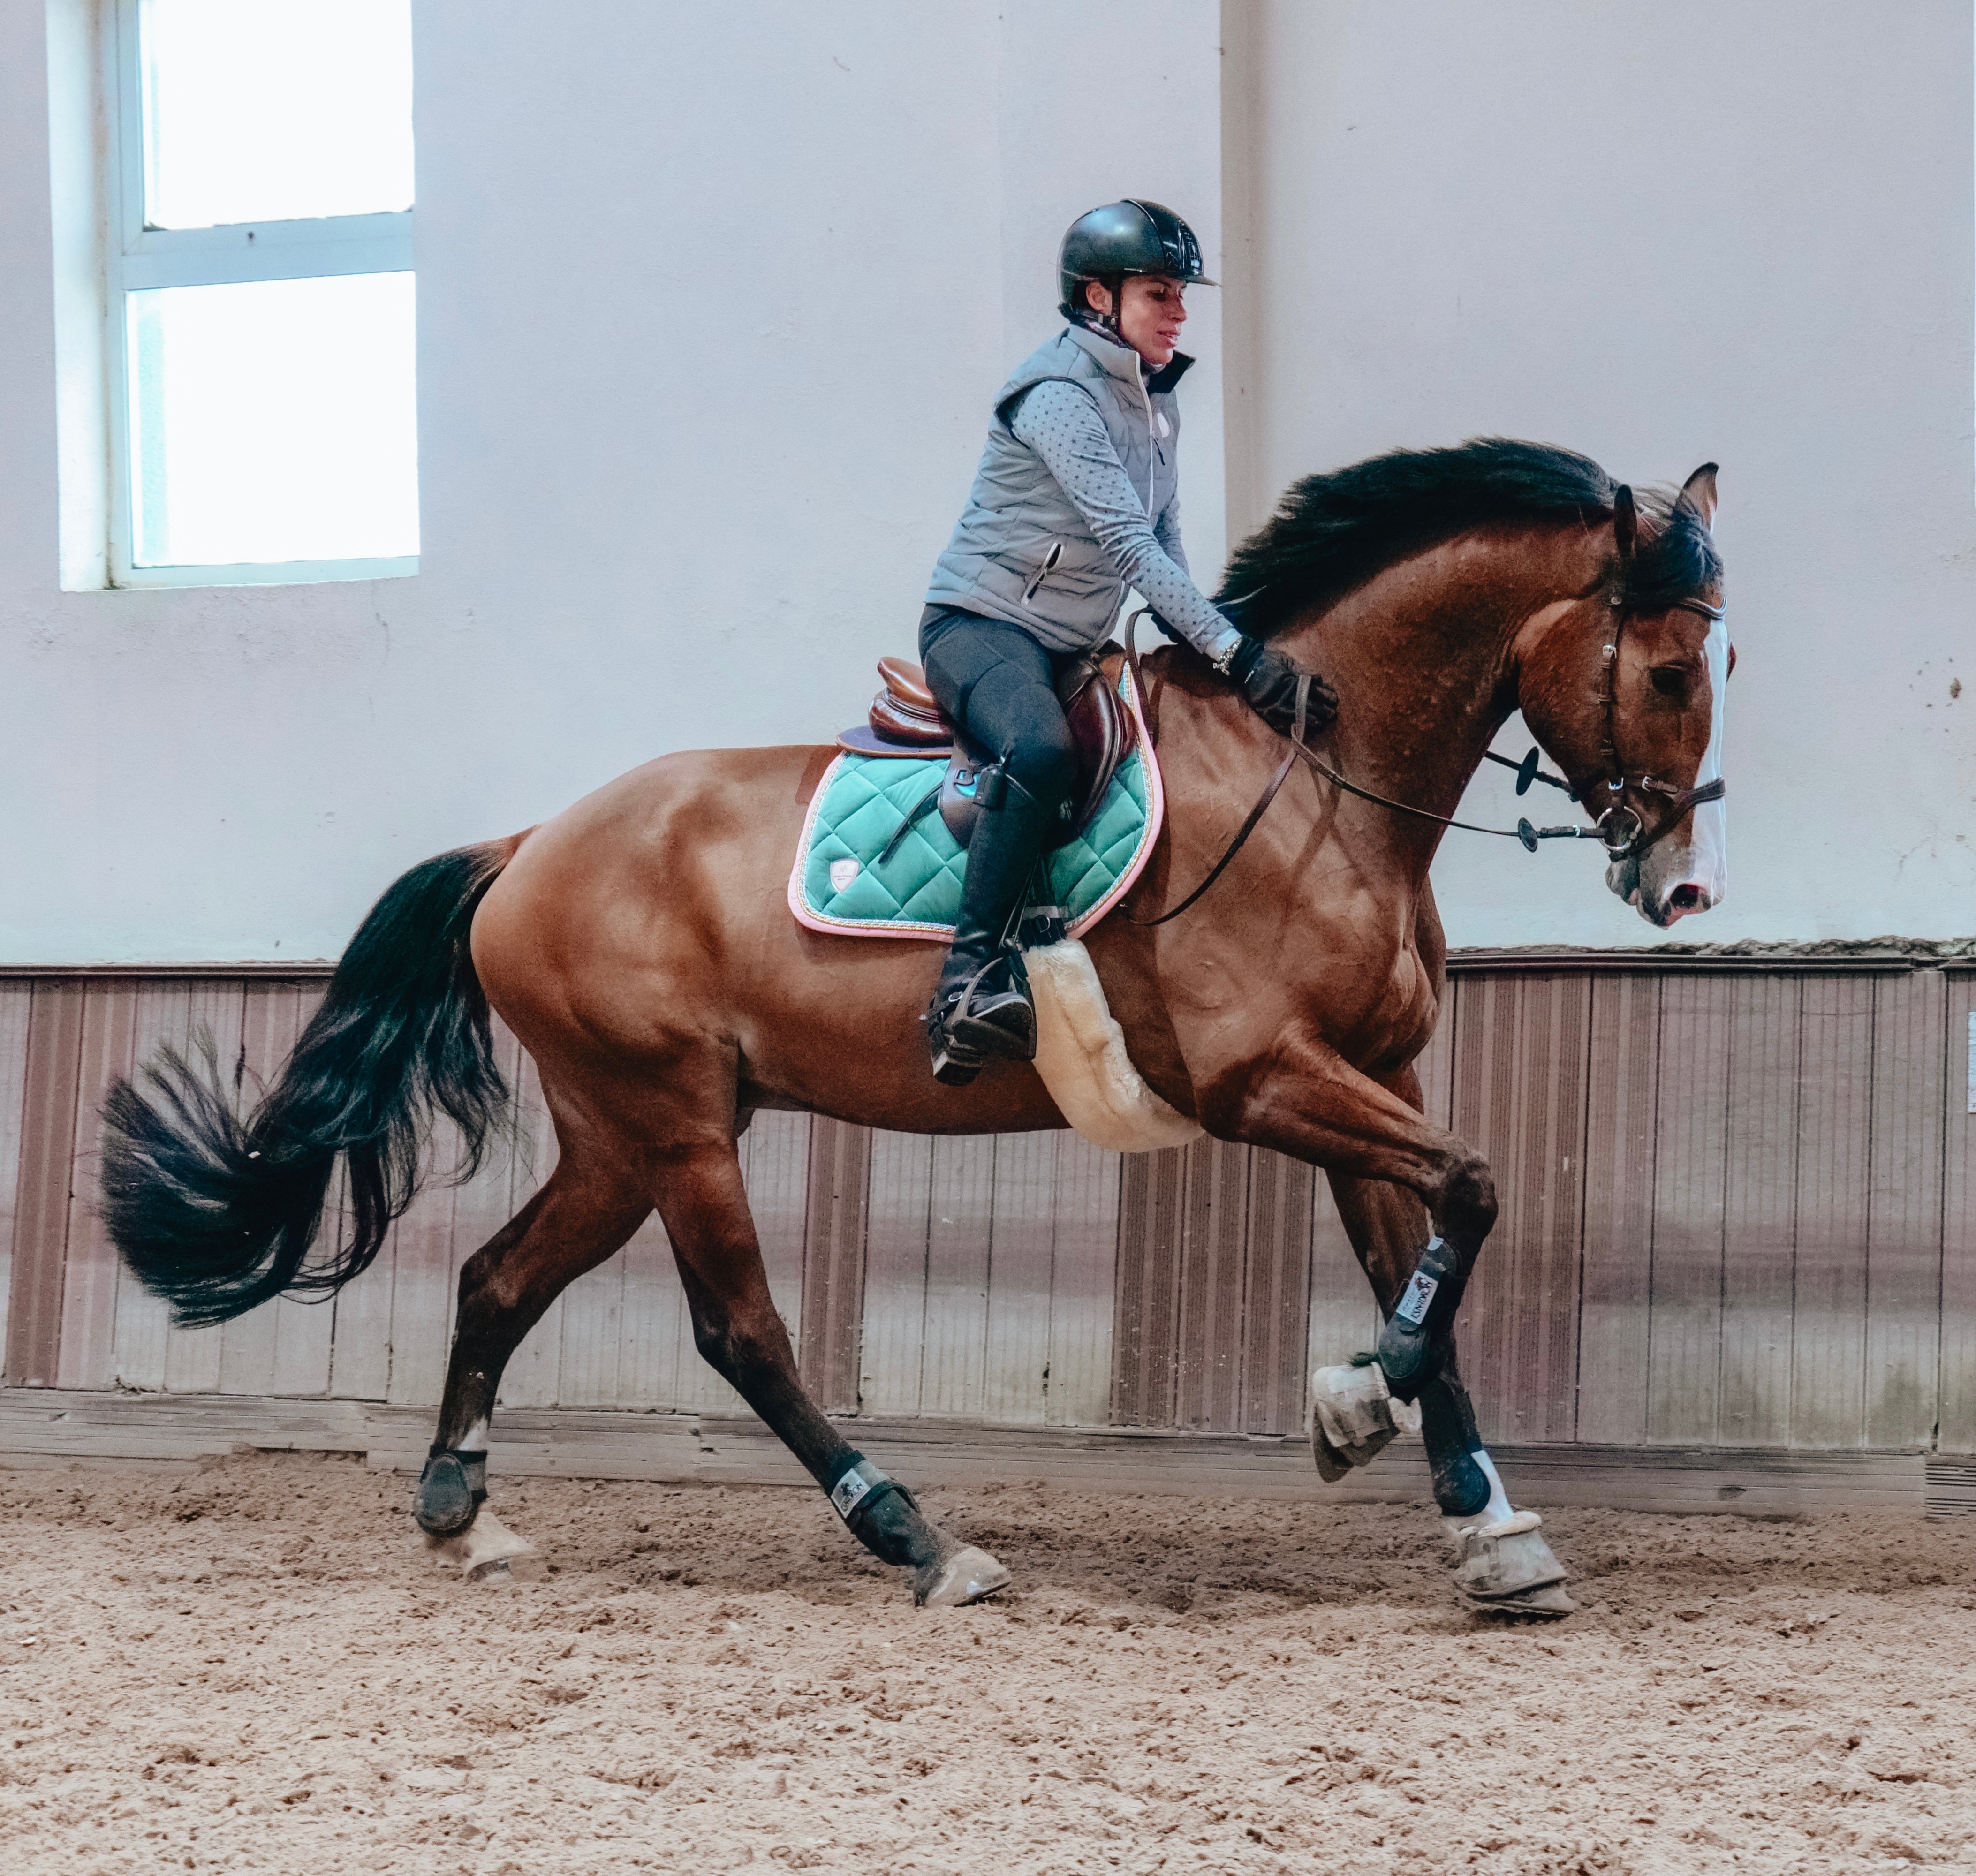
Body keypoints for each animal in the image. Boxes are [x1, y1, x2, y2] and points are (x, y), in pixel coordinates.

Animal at [101, 439, 1728, 1614]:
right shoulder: (1263, 1077)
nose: (1677, 880)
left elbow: (1427, 1268)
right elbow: (1475, 1195)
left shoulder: (1365, 1073)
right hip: (673, 1123)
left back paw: (460, 1518)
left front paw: (1486, 1527)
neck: (1315, 781)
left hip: (621, 1132)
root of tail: (530, 844)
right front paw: (1351, 1410)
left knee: (499, 1282)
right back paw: (919, 1540)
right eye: (1666, 669)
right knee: (741, 1332)